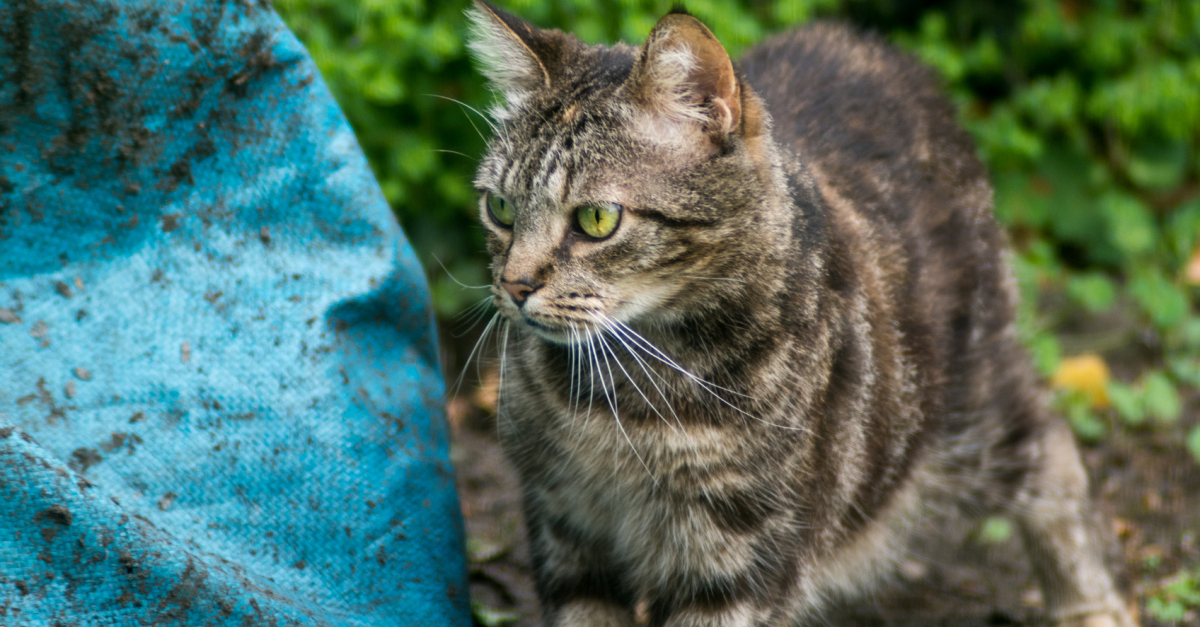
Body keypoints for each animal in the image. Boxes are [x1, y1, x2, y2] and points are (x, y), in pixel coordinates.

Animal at [465, 2, 1132, 619]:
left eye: (597, 219)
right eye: (500, 207)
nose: (515, 284)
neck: (621, 397)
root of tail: (872, 47)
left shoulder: (738, 554)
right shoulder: (566, 527)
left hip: (965, 411)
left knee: (1050, 442)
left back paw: (1087, 603)